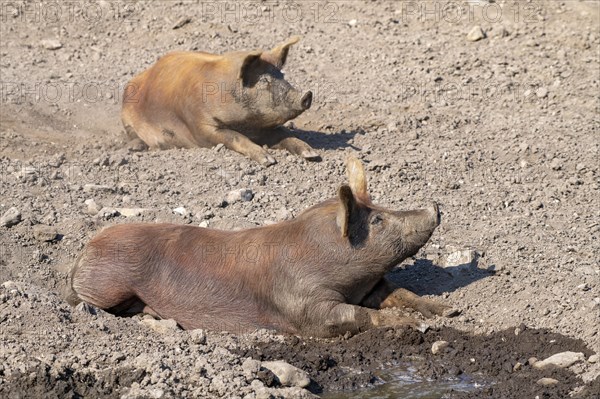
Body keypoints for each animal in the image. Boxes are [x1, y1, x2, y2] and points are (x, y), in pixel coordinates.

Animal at [67, 158, 450, 340]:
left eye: (380, 208)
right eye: (377, 221)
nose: (435, 205)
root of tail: (85, 250)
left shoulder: (370, 285)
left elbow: (400, 293)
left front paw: (448, 311)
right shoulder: (303, 305)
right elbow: (356, 316)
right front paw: (416, 325)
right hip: (108, 284)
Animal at [122, 34, 318, 166]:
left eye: (283, 75)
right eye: (264, 80)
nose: (307, 95)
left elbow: (285, 134)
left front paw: (311, 154)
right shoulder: (200, 126)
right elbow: (235, 137)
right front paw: (268, 160)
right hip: (126, 118)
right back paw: (137, 148)